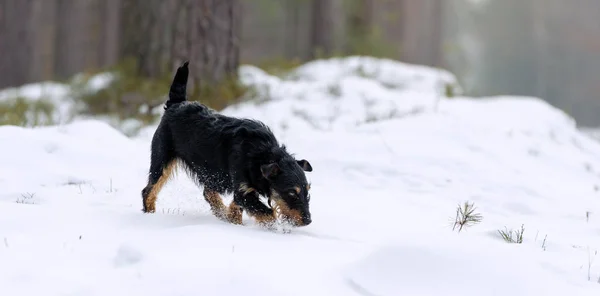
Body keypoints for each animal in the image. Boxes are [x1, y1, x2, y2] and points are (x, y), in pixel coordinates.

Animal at [141, 61, 314, 228]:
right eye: (292, 193)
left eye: (307, 191)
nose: (308, 221)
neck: (261, 153)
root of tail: (176, 104)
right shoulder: (244, 191)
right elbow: (267, 213)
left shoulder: (242, 190)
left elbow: (236, 208)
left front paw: (232, 221)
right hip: (161, 162)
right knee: (148, 191)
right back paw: (150, 215)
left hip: (211, 175)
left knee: (208, 193)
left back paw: (220, 211)